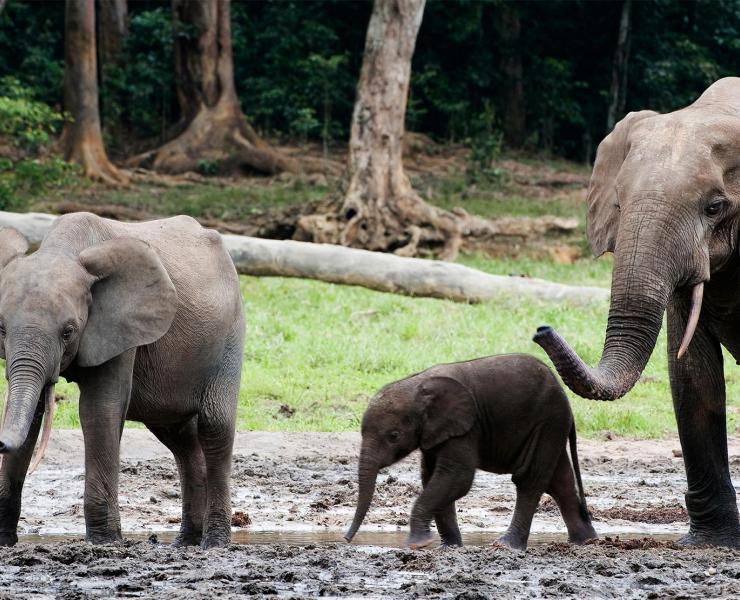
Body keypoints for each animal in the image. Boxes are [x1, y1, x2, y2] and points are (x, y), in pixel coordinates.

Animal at [0, 212, 245, 549]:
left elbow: (99, 409)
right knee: (180, 438)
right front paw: (4, 541)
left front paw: (105, 543)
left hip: (230, 332)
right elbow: (30, 416)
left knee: (214, 427)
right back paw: (186, 542)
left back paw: (215, 544)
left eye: (68, 332)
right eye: (1, 329)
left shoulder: (121, 329)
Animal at [344, 354, 597, 550]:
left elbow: (457, 477)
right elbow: (432, 477)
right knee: (560, 481)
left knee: (529, 479)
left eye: (394, 436)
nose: (346, 539)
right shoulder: (437, 432)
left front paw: (417, 544)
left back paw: (507, 546)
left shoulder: (466, 427)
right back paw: (585, 542)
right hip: (551, 426)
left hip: (548, 421)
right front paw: (448, 547)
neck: (417, 383)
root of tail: (565, 397)